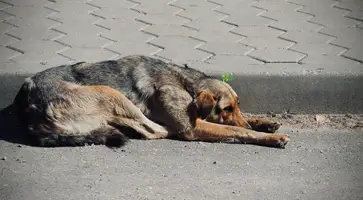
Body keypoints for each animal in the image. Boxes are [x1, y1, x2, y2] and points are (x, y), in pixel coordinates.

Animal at [14, 54, 292, 148]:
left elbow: (245, 123)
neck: (187, 83)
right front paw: (268, 136)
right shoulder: (191, 128)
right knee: (152, 130)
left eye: (238, 105)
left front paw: (263, 123)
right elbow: (234, 130)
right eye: (225, 109)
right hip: (109, 92)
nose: (246, 123)